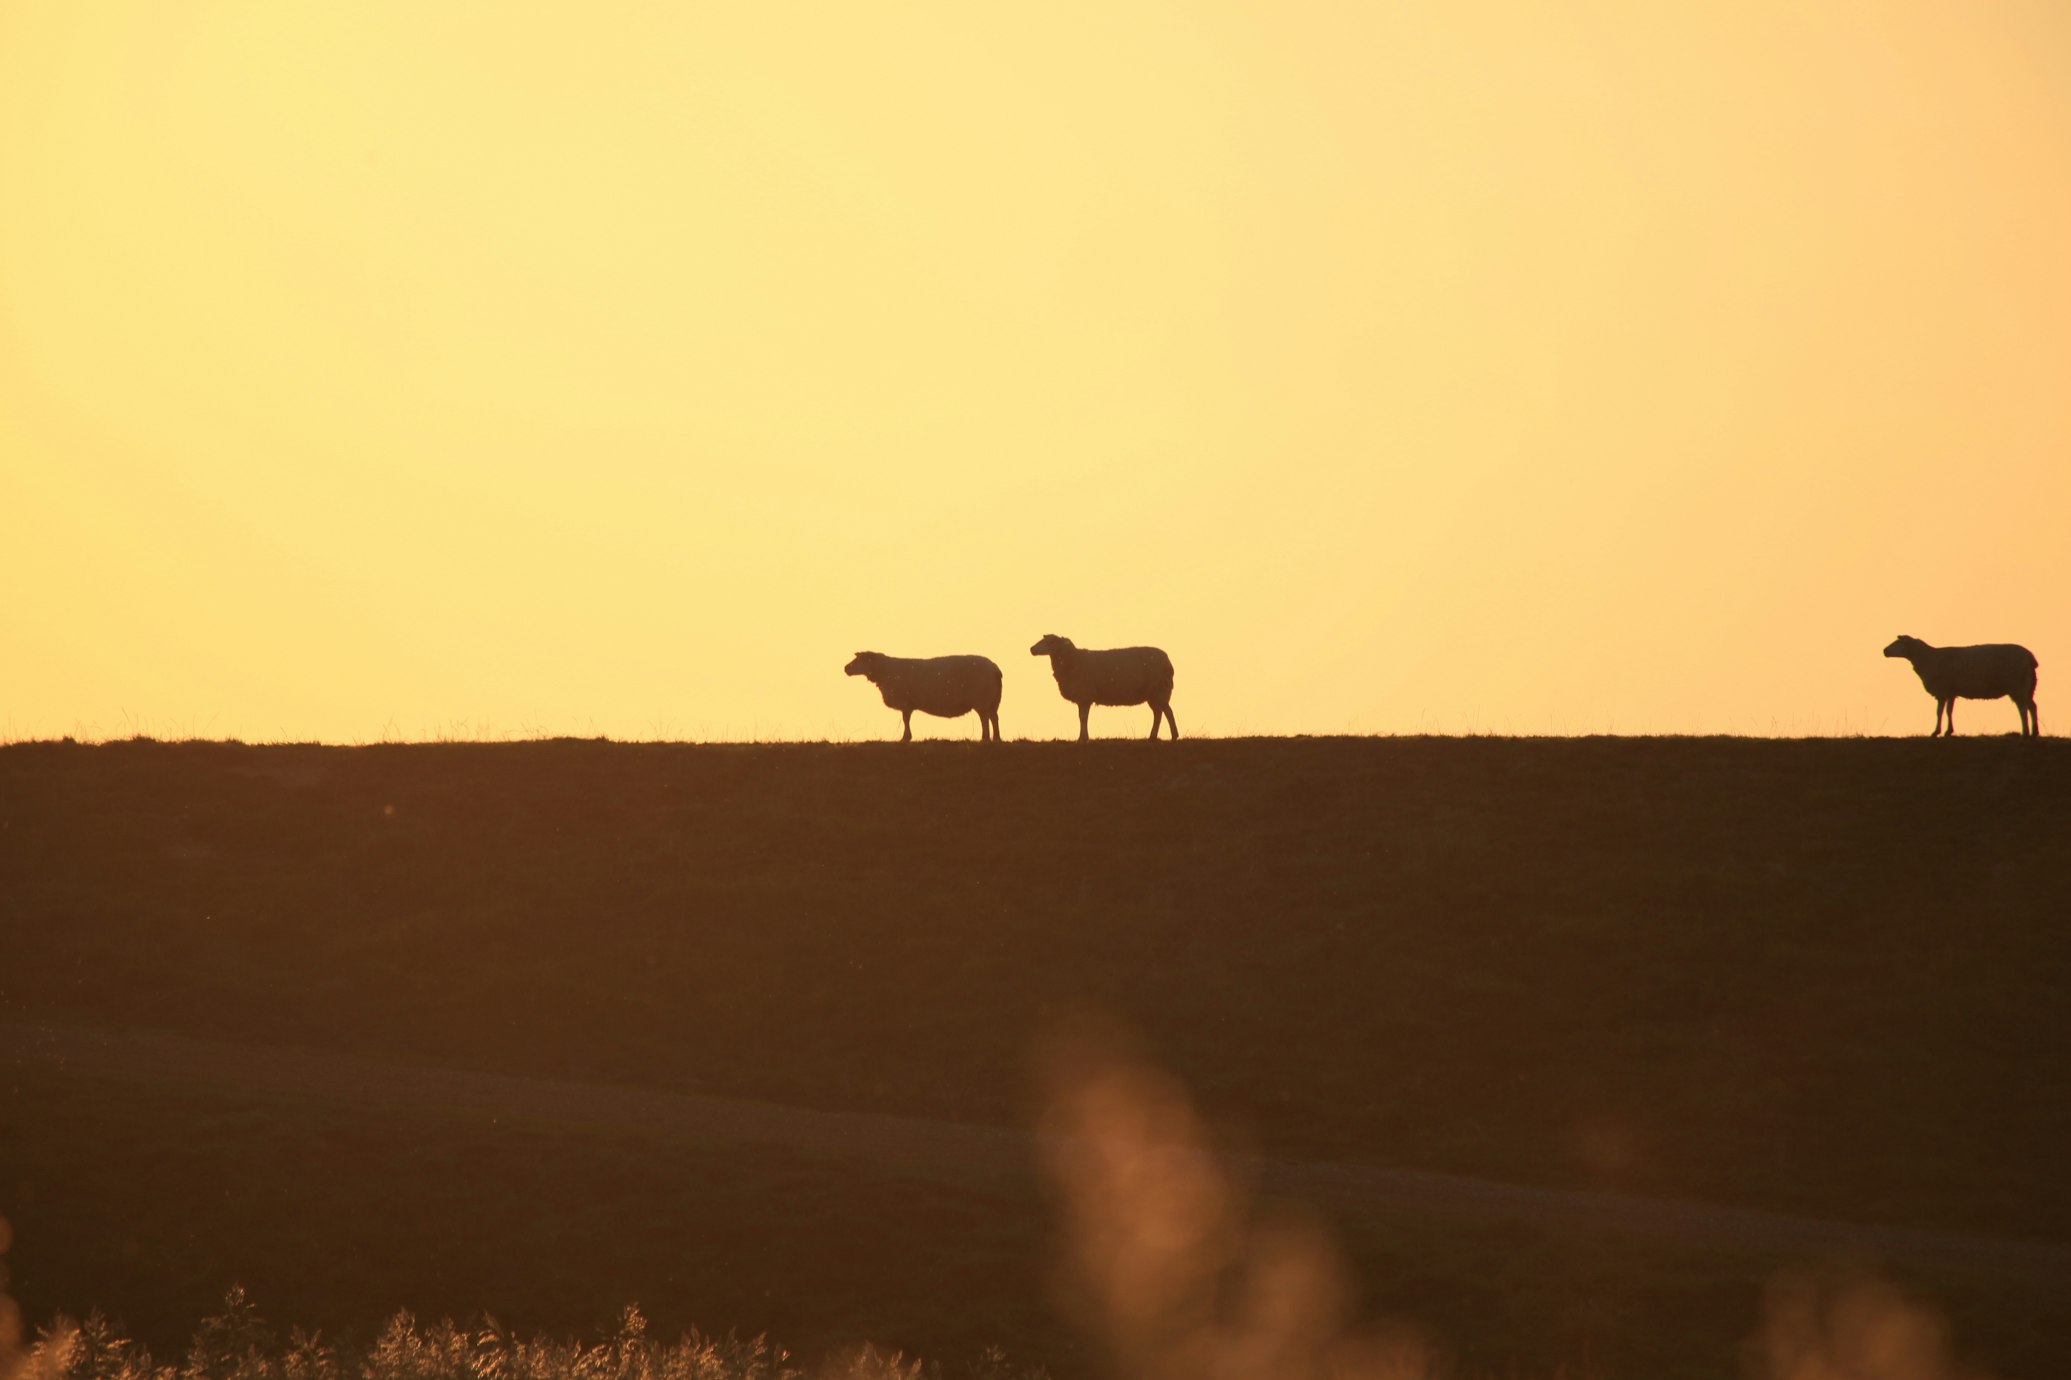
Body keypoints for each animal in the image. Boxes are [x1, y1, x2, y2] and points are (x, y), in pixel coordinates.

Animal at [840, 646, 1002, 741]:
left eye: (860, 659)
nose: (846, 668)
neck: (884, 671)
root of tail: (995, 669)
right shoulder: (908, 703)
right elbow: (906, 719)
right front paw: (906, 737)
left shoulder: (905, 702)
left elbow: (905, 719)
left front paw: (905, 738)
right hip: (993, 701)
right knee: (994, 718)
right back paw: (996, 739)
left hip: (982, 699)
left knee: (985, 719)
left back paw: (985, 738)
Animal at [1023, 634, 1176, 741]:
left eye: (1048, 642)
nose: (1031, 649)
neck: (1073, 660)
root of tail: (1167, 661)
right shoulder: (1082, 698)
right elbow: (1081, 717)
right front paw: (1082, 737)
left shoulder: (1085, 695)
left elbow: (1083, 718)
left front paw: (1083, 739)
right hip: (1154, 694)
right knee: (1158, 714)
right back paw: (1152, 737)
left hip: (1159, 689)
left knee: (1167, 712)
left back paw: (1174, 735)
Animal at [1880, 634, 2037, 737]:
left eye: (1899, 643)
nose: (1884, 651)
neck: (1928, 658)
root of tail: (2030, 657)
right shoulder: (1951, 692)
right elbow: (1949, 711)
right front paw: (1948, 731)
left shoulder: (1942, 691)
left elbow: (1939, 712)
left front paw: (1936, 732)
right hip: (2028, 686)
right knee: (2032, 706)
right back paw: (2034, 732)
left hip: (2017, 685)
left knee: (2022, 708)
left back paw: (2025, 732)